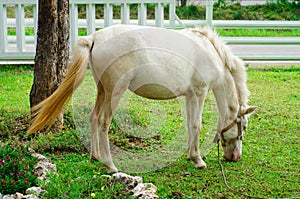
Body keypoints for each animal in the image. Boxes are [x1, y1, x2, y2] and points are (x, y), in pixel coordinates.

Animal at [27, 24, 255, 173]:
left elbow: (191, 125)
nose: (235, 157)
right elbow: (196, 125)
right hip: (115, 91)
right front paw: (198, 160)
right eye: (243, 126)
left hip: (103, 90)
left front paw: (193, 155)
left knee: (93, 117)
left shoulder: (190, 95)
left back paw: (96, 157)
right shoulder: (200, 92)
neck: (210, 51)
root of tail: (95, 37)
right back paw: (110, 165)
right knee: (103, 122)